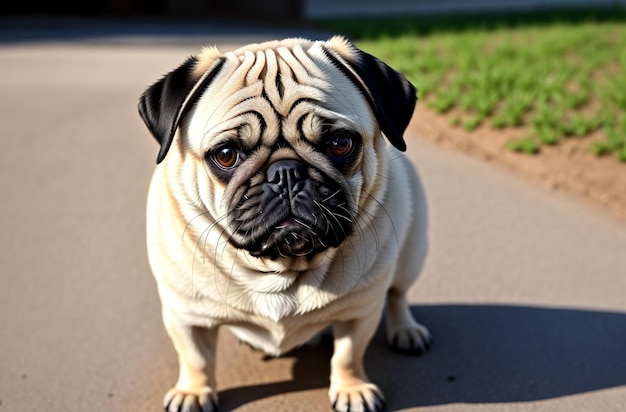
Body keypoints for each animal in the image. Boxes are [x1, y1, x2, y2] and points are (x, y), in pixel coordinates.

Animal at [136, 36, 428, 412]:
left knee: (398, 293)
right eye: (226, 154)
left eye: (340, 144)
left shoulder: (361, 310)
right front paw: (193, 392)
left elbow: (348, 354)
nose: (286, 173)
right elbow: (195, 358)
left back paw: (406, 330)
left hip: (411, 253)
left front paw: (352, 389)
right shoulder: (185, 314)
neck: (282, 268)